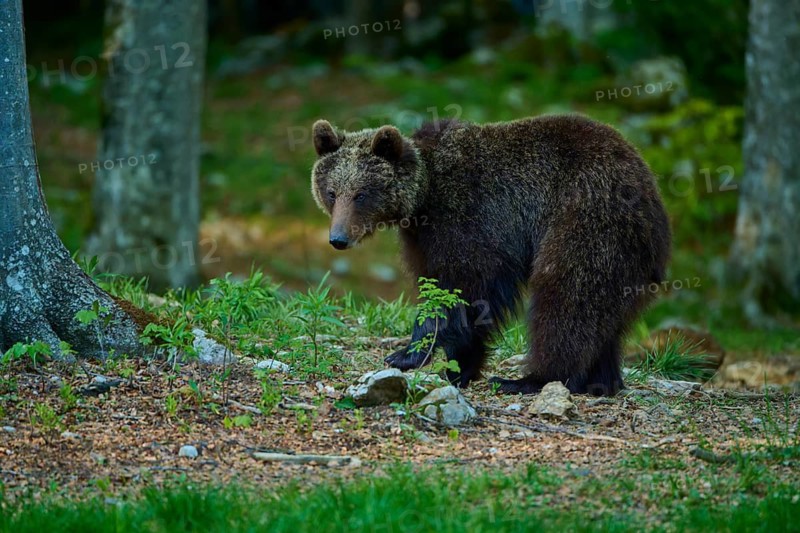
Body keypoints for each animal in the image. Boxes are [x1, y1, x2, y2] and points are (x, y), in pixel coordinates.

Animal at [309, 114, 671, 396]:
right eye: (332, 192)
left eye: (361, 194)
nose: (338, 238)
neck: (423, 198)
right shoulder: (421, 238)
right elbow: (439, 285)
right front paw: (457, 366)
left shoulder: (471, 218)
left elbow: (465, 289)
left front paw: (410, 355)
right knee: (604, 317)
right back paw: (602, 382)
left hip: (587, 221)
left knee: (567, 298)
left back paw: (530, 379)